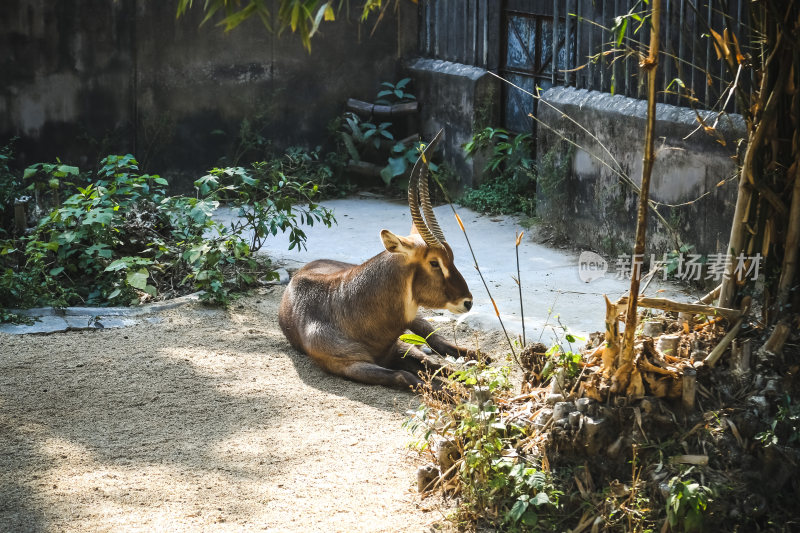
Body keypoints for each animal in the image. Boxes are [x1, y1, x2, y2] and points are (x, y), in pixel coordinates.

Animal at [278, 129, 476, 386]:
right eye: (434, 262)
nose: (467, 301)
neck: (346, 305)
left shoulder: (398, 347)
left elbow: (434, 364)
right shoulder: (350, 365)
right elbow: (406, 375)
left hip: (415, 320)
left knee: (435, 338)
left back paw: (478, 356)